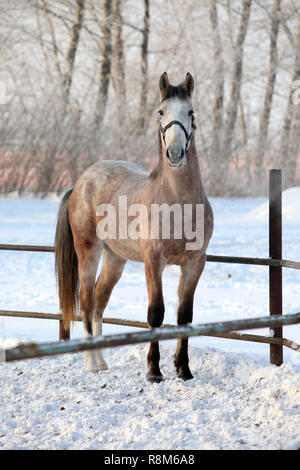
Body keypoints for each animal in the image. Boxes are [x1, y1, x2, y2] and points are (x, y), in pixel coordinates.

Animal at [54, 72, 213, 382]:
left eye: (190, 112)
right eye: (161, 112)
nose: (175, 153)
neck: (178, 202)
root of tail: (80, 183)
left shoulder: (194, 263)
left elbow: (184, 316)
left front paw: (184, 369)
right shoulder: (154, 262)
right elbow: (156, 314)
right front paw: (154, 371)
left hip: (115, 258)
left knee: (100, 301)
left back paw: (102, 361)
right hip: (88, 252)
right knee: (87, 300)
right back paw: (91, 364)